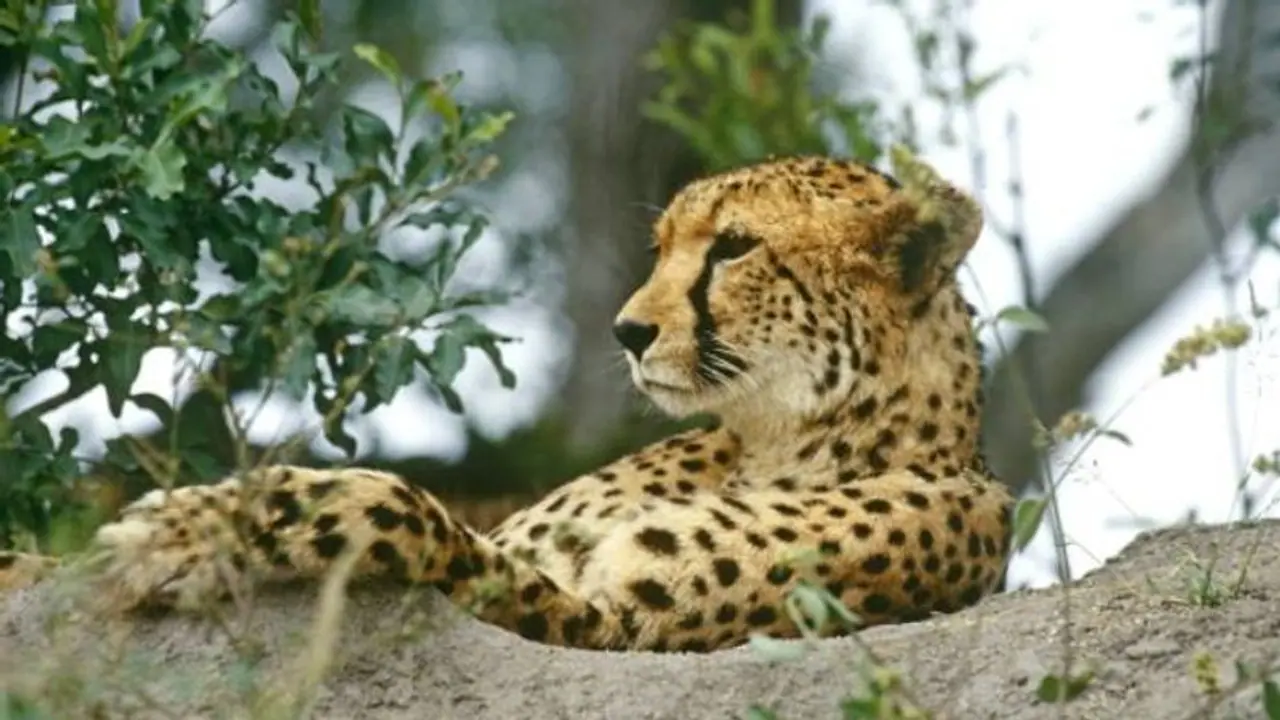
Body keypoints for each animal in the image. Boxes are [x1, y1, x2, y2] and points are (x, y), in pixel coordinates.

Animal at [0, 147, 1014, 653]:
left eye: (733, 248)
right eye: (662, 246)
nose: (628, 330)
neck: (786, 434)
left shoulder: (605, 623)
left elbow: (409, 513)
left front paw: (197, 530)